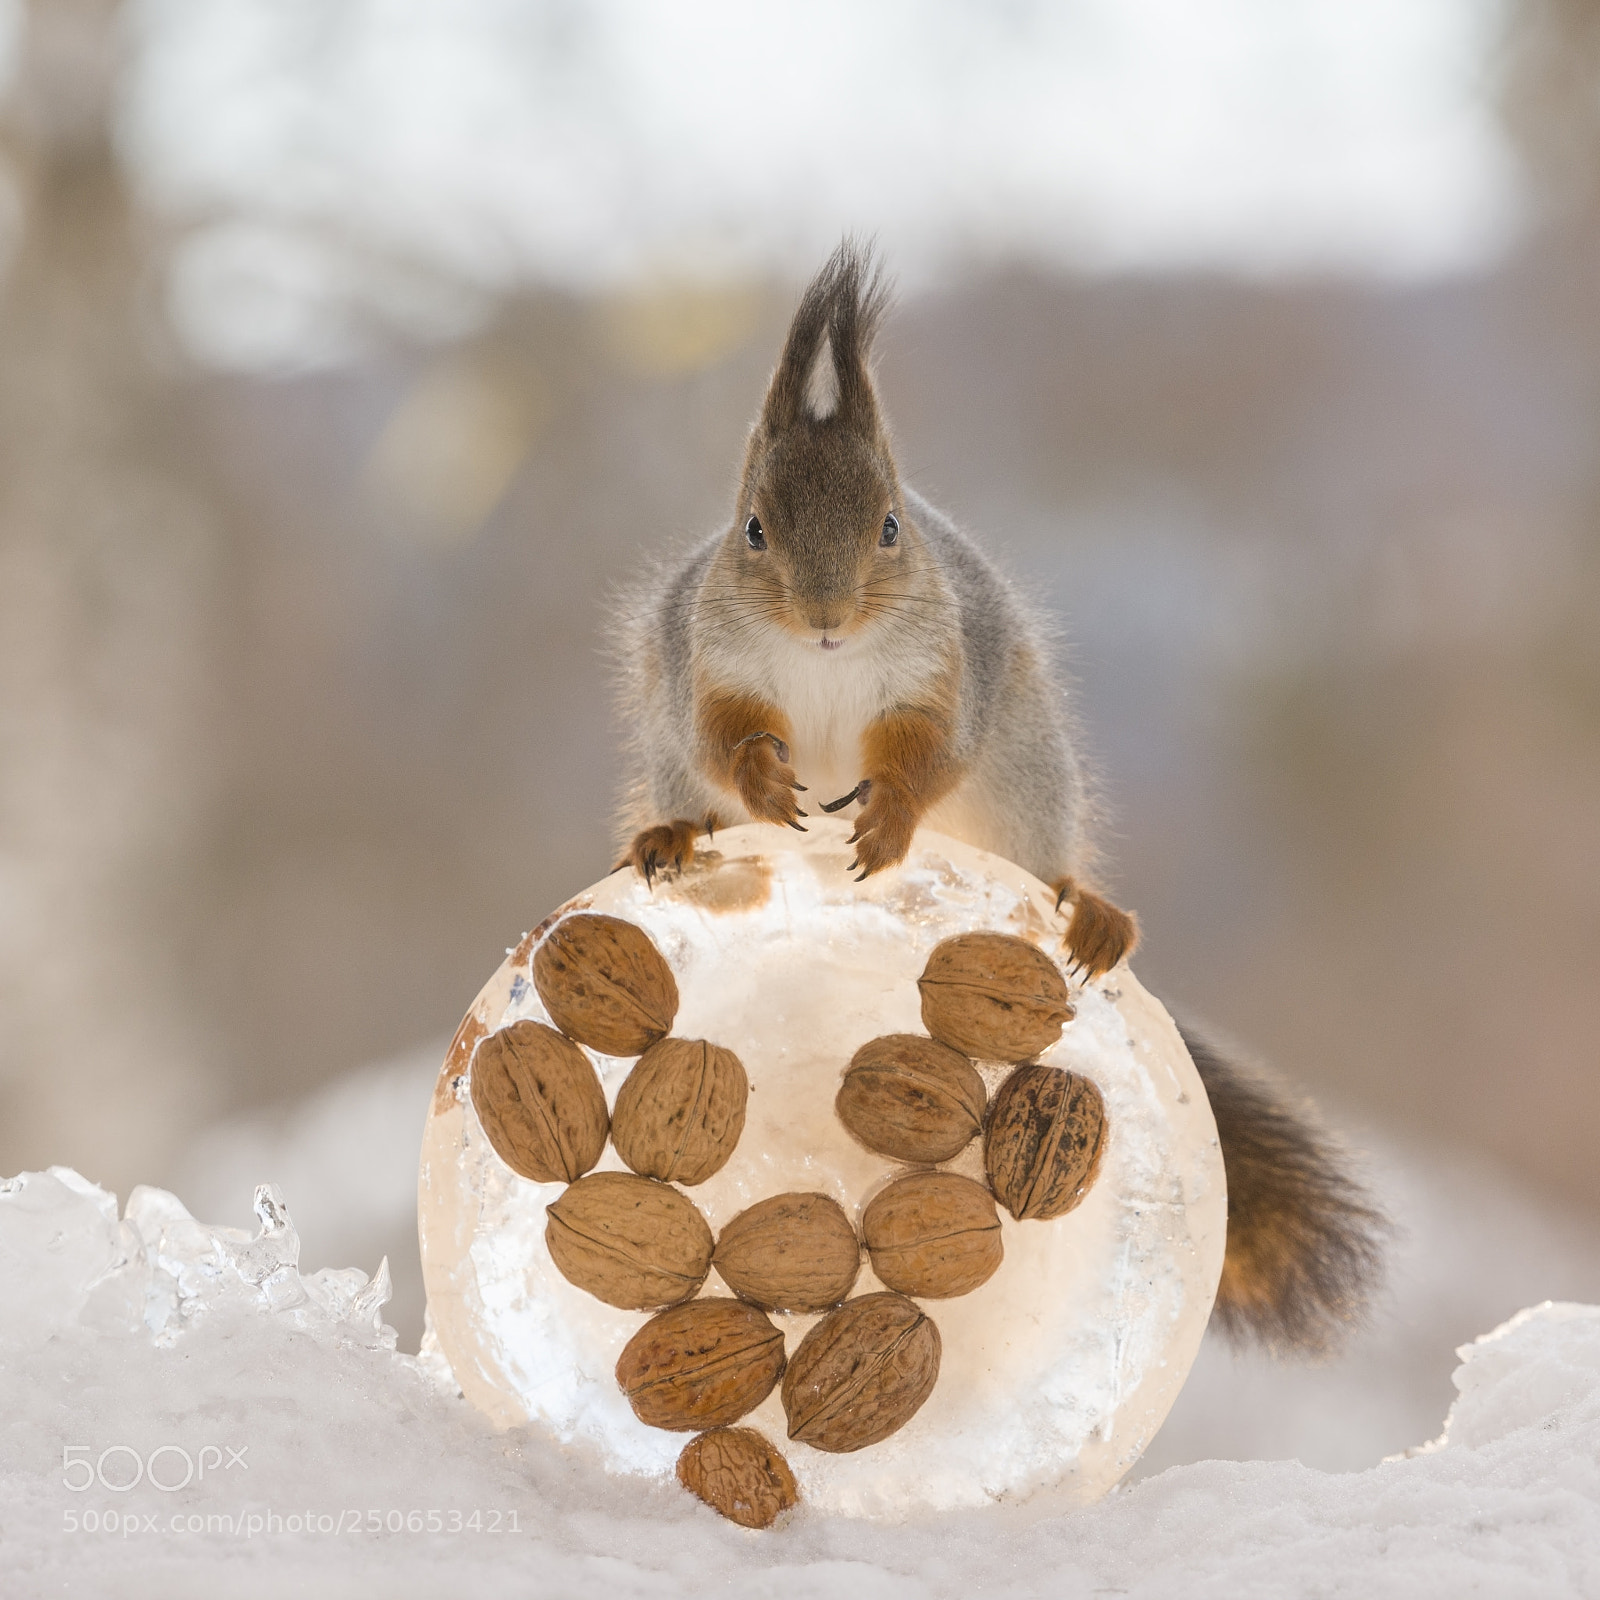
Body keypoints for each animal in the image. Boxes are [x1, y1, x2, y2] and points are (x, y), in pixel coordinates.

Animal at [614, 242, 1386, 1356]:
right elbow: (726, 736)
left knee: (1044, 864)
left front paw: (887, 821)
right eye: (750, 529)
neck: (824, 664)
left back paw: (1086, 911)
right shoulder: (702, 668)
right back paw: (679, 842)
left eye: (891, 526)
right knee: (694, 799)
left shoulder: (947, 673)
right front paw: (764, 781)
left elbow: (926, 756)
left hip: (1026, 775)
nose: (825, 614)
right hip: (675, 758)